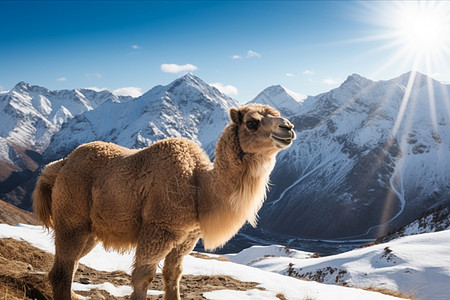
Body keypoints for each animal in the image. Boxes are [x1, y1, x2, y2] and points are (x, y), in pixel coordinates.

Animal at [34, 103, 296, 300]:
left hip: (90, 230)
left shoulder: (186, 238)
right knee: (64, 269)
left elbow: (174, 274)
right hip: (72, 218)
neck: (199, 188)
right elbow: (143, 277)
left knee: (70, 265)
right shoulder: (158, 228)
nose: (288, 128)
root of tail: (60, 165)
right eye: (252, 122)